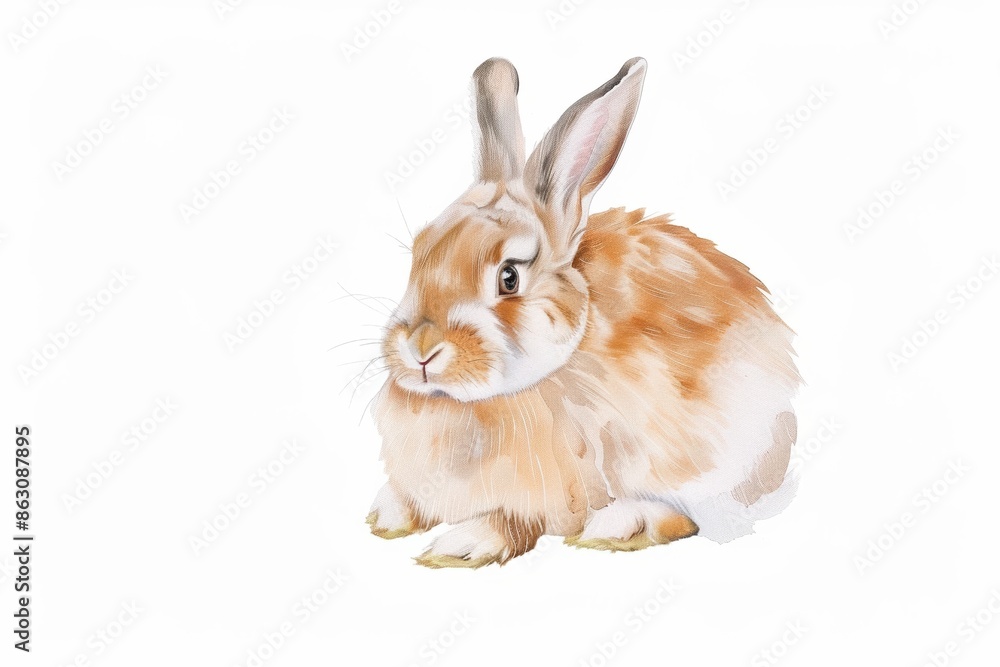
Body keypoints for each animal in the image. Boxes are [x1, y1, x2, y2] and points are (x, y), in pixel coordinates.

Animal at [366, 57, 800, 568]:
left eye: (509, 277)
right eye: (419, 254)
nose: (421, 348)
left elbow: (516, 522)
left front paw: (464, 543)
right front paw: (387, 514)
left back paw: (620, 524)